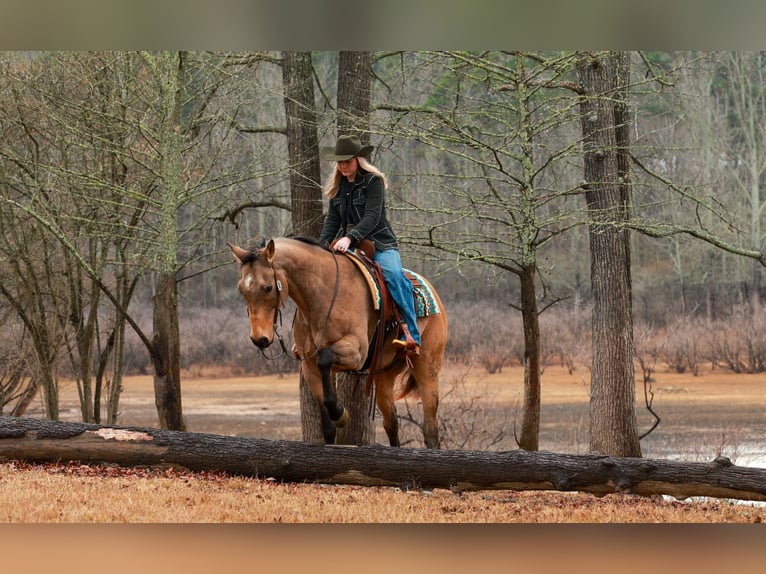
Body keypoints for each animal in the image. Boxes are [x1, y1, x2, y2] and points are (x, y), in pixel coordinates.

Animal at [228, 237, 448, 448]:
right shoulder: (309, 366)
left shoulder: (356, 353)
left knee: (430, 429)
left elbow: (325, 359)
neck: (322, 297)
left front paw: (340, 413)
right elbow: (327, 424)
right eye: (241, 289)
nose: (259, 339)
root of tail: (434, 294)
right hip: (384, 375)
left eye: (268, 287)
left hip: (427, 368)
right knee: (391, 423)